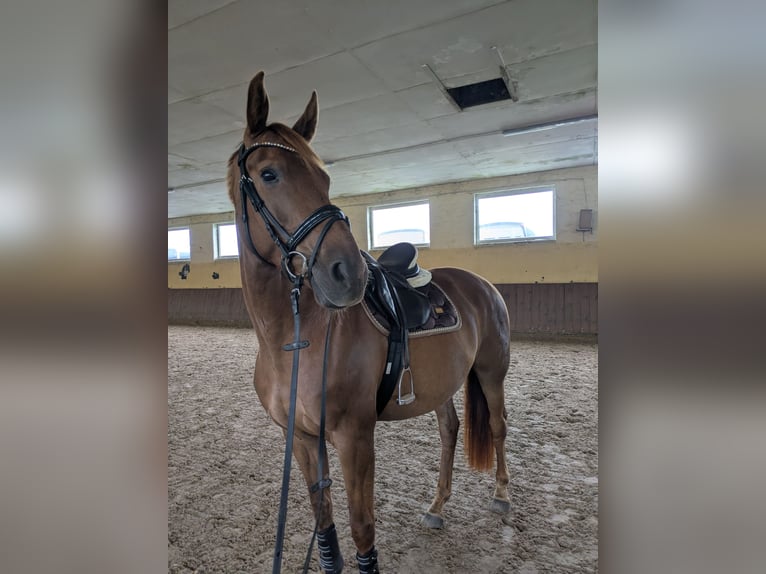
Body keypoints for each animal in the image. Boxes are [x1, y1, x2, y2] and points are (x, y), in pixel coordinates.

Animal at [226, 71, 512, 574]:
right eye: (269, 174)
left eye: (324, 177)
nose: (349, 274)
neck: (295, 339)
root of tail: (483, 286)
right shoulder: (302, 439)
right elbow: (325, 528)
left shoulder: (354, 437)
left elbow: (362, 529)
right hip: (443, 383)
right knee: (449, 430)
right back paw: (437, 507)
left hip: (491, 374)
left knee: (497, 426)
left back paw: (501, 495)